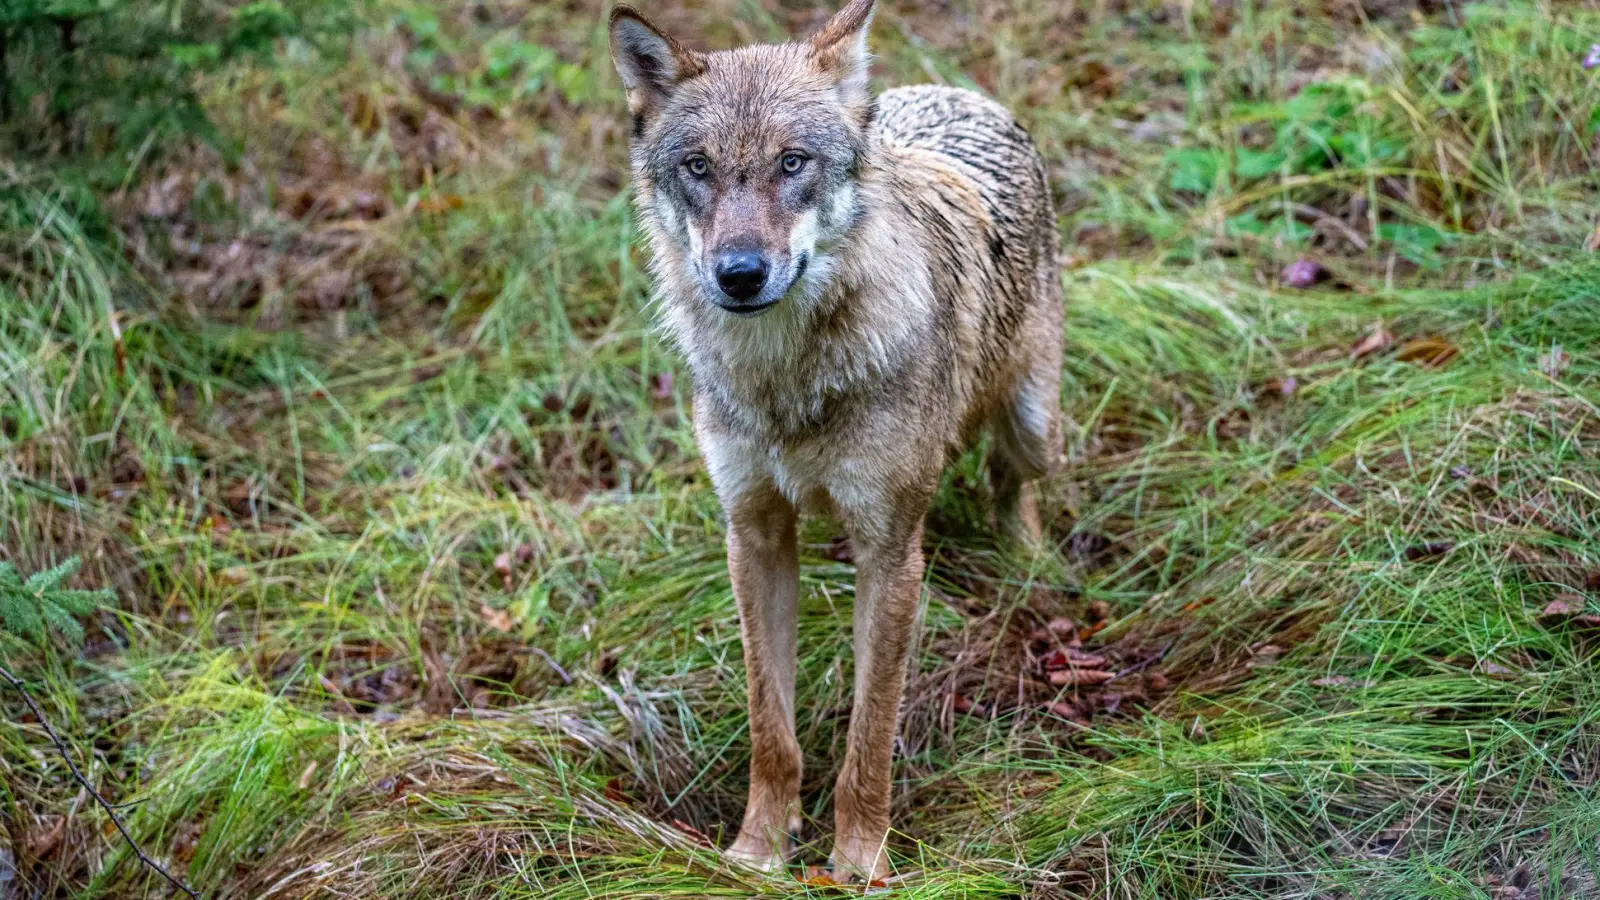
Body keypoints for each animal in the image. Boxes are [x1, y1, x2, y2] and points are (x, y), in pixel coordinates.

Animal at [608, 0, 1063, 881]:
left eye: (792, 163)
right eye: (699, 168)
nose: (740, 273)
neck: (787, 382)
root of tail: (955, 93)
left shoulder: (889, 553)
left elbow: (870, 736)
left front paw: (857, 865)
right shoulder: (753, 535)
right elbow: (771, 728)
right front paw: (757, 851)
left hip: (1033, 425)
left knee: (1011, 481)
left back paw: (1029, 565)